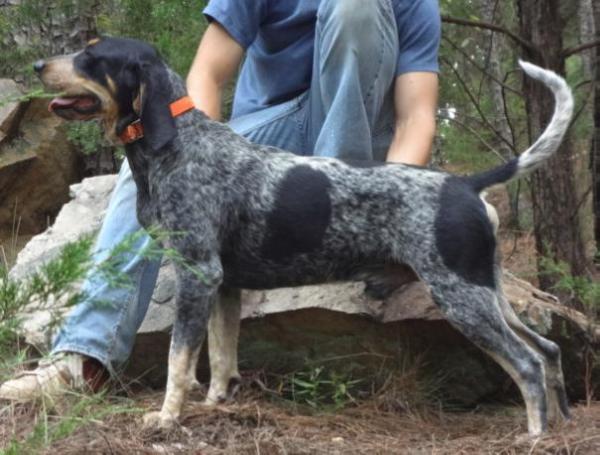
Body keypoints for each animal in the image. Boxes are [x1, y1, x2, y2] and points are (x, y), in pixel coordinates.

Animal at [35, 37, 576, 436]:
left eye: (91, 56)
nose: (39, 64)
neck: (177, 145)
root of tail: (466, 184)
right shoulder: (222, 286)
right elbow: (221, 356)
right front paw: (214, 405)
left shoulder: (197, 274)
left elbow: (179, 360)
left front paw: (168, 417)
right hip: (487, 292)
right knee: (549, 350)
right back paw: (561, 419)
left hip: (462, 298)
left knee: (527, 363)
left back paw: (533, 435)